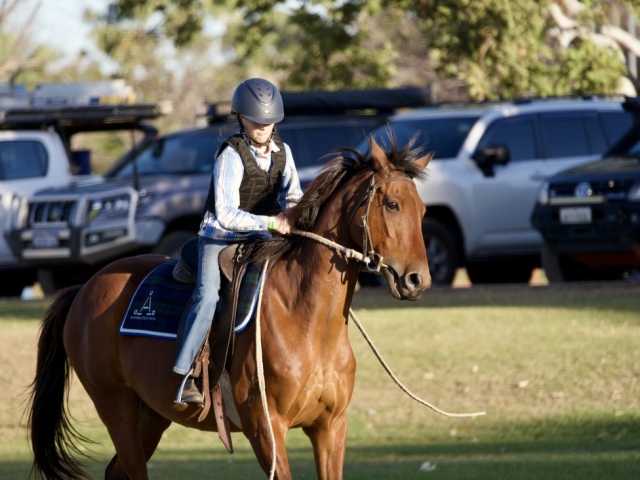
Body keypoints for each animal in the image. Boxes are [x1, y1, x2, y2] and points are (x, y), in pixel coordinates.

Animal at [26, 136, 433, 480]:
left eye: (423, 210)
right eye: (392, 204)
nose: (418, 280)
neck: (307, 323)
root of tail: (84, 289)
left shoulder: (331, 427)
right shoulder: (265, 429)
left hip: (152, 414)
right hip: (117, 408)